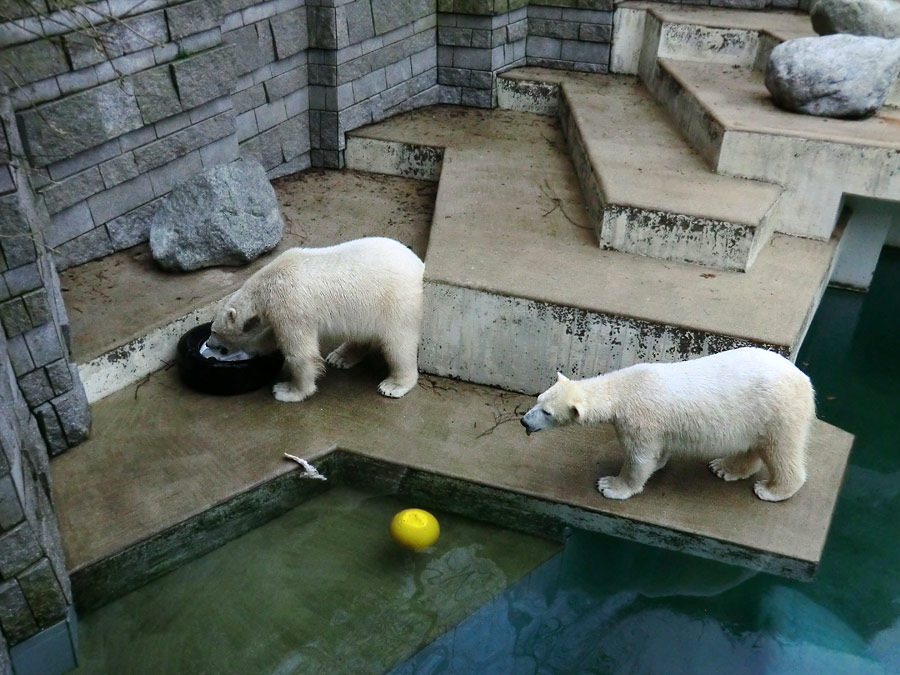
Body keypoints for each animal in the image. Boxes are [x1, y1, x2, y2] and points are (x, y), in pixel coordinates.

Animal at [209, 238, 424, 402]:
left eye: (214, 331)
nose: (209, 344)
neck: (267, 285)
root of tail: (420, 267)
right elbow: (271, 338)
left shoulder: (290, 307)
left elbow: (300, 353)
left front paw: (288, 391)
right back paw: (341, 356)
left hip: (396, 303)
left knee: (398, 345)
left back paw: (394, 385)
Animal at [516, 348, 820, 502]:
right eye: (538, 399)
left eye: (546, 412)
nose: (523, 420)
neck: (624, 388)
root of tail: (805, 379)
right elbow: (657, 453)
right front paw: (660, 463)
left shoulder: (640, 420)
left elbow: (639, 459)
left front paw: (610, 485)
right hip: (756, 417)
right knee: (753, 447)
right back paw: (724, 468)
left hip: (779, 411)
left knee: (782, 451)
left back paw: (771, 490)